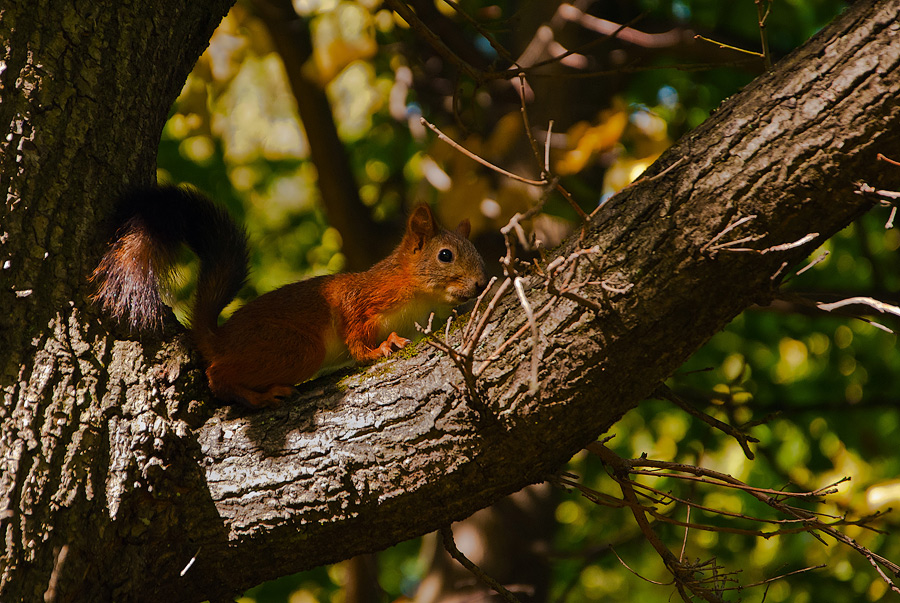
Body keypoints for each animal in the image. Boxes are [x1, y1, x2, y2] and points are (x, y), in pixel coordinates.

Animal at [90, 186, 486, 408]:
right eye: (446, 255)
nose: (481, 284)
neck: (418, 297)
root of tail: (220, 339)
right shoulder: (362, 298)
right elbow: (355, 333)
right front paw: (379, 349)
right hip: (291, 348)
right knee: (217, 374)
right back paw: (259, 396)